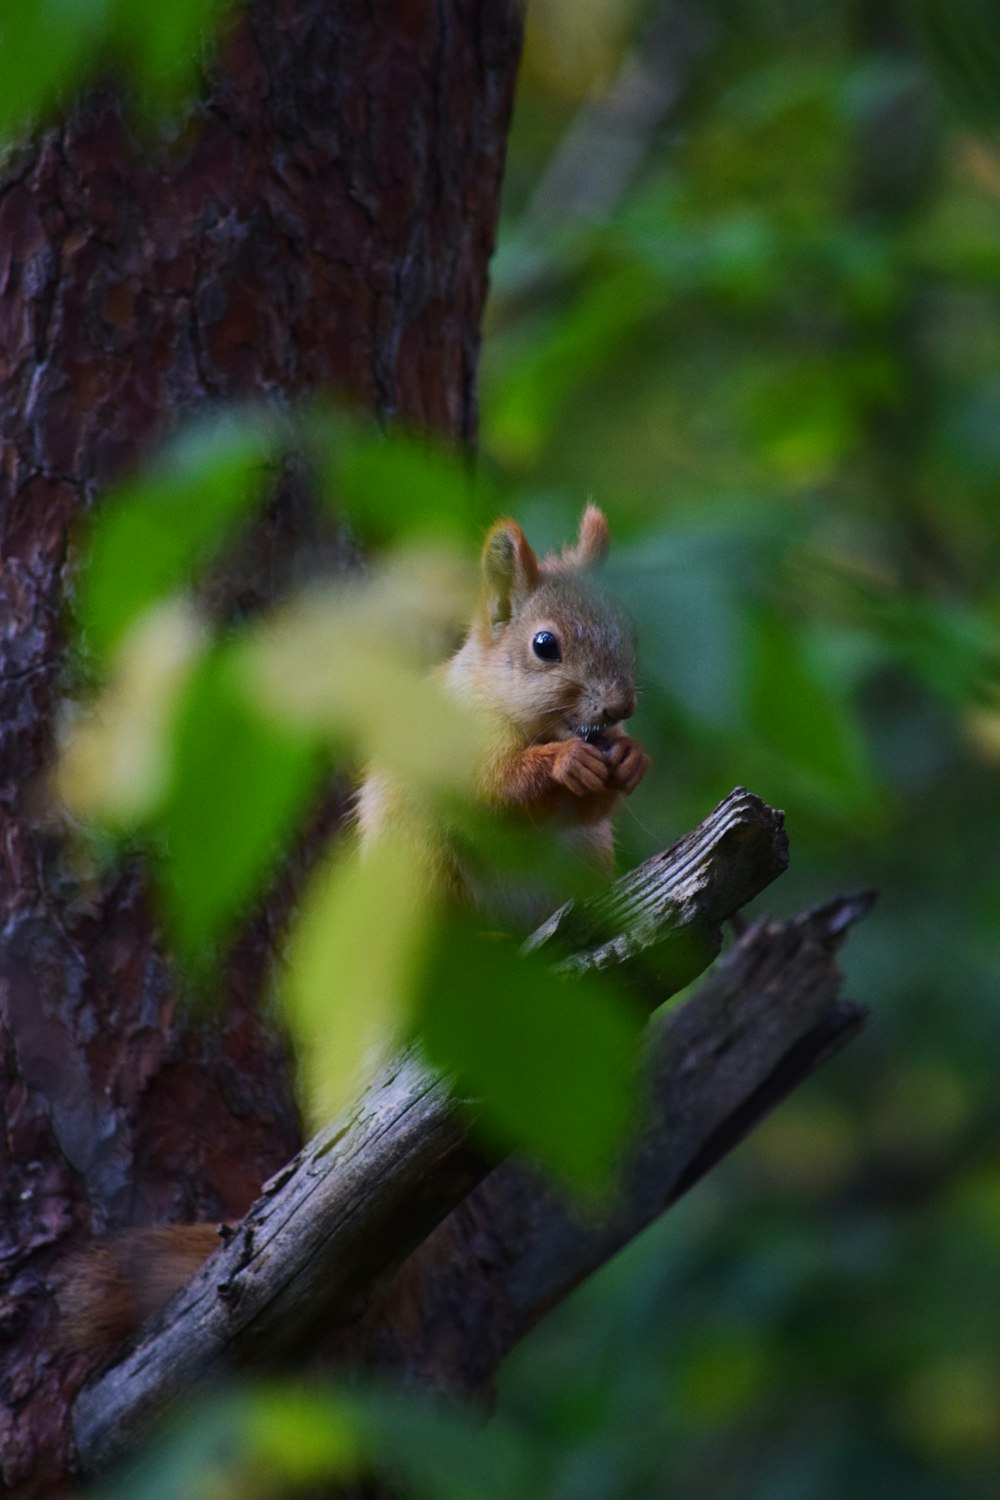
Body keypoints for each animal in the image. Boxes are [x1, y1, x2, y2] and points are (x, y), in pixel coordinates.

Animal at [58, 510, 650, 1356]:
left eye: (627, 628)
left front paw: (627, 760)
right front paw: (563, 762)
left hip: (582, 868)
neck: (510, 707)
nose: (620, 708)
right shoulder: (448, 753)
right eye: (545, 645)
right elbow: (494, 789)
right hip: (420, 876)